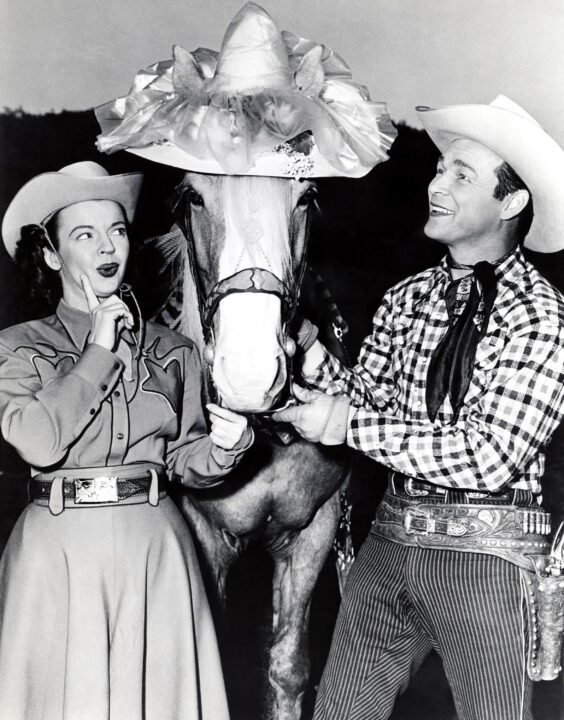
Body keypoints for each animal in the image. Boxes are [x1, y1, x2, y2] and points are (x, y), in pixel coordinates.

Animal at [142, 170, 352, 720]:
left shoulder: (317, 527)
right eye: (193, 195)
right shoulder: (204, 537)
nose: (250, 377)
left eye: (307, 196)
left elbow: (288, 667)